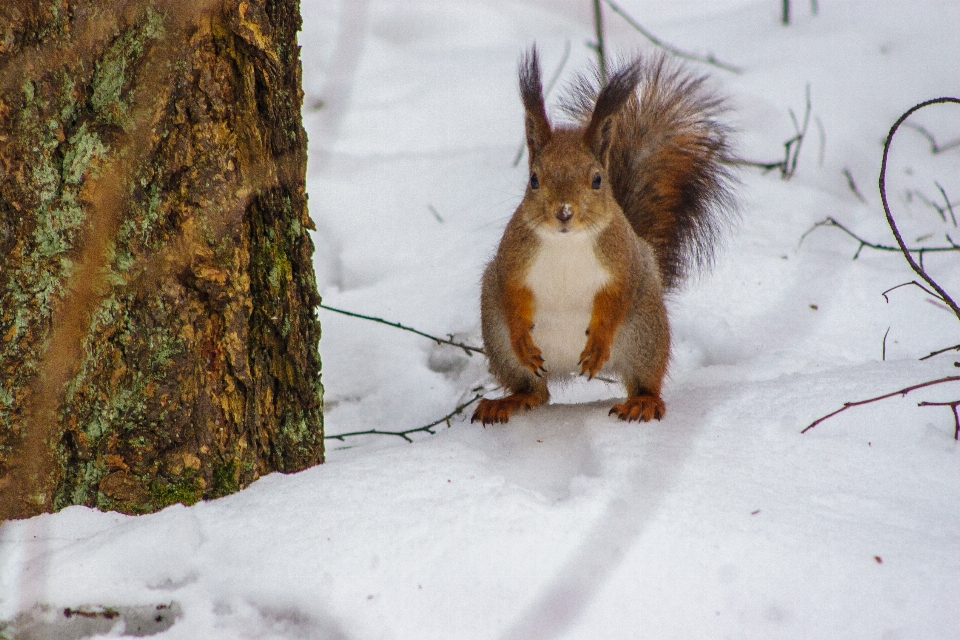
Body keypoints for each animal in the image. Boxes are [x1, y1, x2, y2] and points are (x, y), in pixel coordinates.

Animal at [470, 48, 736, 424]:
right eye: (534, 179)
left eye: (597, 179)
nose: (564, 212)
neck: (567, 242)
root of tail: (564, 367)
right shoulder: (512, 259)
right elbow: (511, 292)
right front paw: (523, 341)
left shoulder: (623, 261)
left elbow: (617, 296)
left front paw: (598, 345)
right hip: (497, 335)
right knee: (536, 390)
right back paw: (509, 400)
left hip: (645, 333)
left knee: (644, 379)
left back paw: (643, 401)